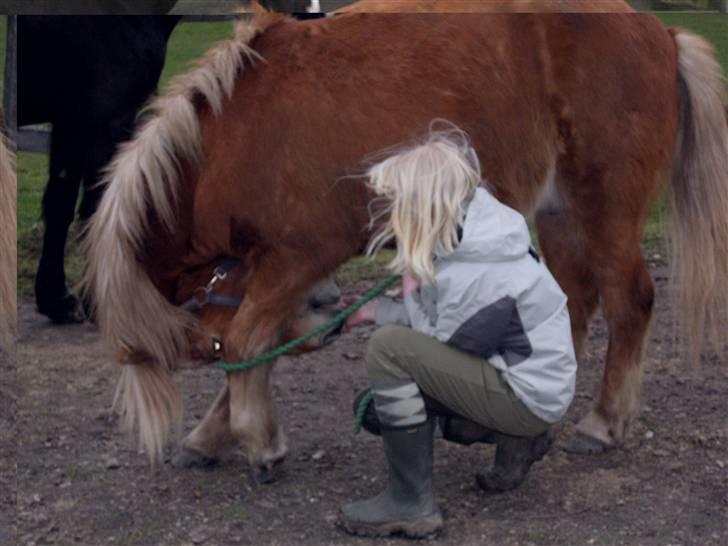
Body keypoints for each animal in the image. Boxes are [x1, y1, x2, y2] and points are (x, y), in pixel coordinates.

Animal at [82, 7, 728, 476]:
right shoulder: (280, 272)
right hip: (559, 214)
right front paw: (213, 433)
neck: (236, 132)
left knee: (630, 301)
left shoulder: (297, 258)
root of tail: (662, 32)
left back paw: (602, 423)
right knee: (569, 303)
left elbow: (248, 340)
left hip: (604, 209)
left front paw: (256, 441)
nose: (331, 315)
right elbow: (264, 342)